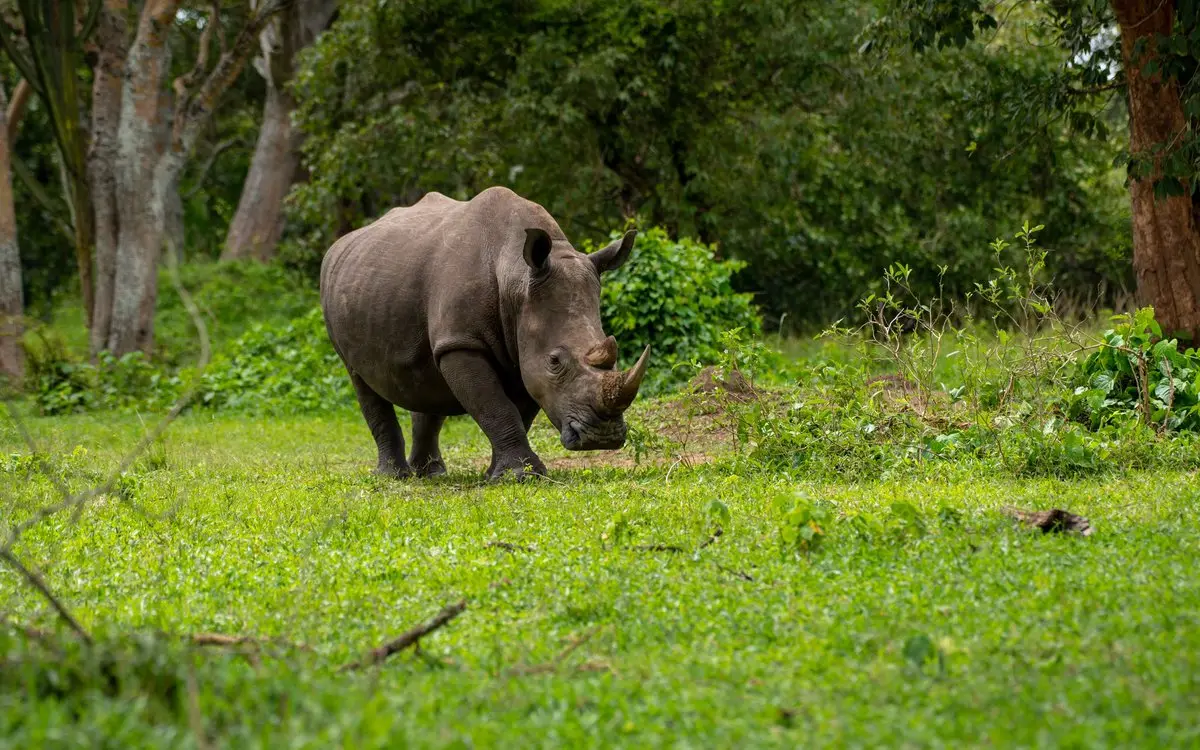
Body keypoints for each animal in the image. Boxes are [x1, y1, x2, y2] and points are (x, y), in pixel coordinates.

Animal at [320, 186, 650, 481]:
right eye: (555, 361)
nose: (602, 438)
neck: (516, 275)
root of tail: (337, 247)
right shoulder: (463, 342)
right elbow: (497, 407)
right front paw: (521, 477)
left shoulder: (520, 348)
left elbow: (518, 410)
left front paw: (500, 475)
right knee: (360, 378)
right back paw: (394, 476)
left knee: (426, 377)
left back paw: (431, 475)